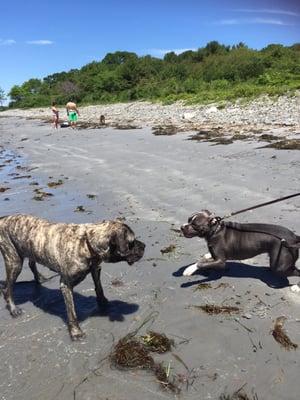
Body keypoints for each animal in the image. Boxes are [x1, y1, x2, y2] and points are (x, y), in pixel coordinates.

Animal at [0, 216, 145, 340]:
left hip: (30, 249)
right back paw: (13, 309)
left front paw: (102, 301)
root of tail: (3, 218)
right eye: (131, 242)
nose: (144, 246)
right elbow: (72, 312)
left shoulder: (95, 269)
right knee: (7, 289)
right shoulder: (66, 285)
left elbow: (99, 287)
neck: (87, 242)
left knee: (31, 263)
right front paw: (76, 332)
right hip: (14, 262)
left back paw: (40, 278)